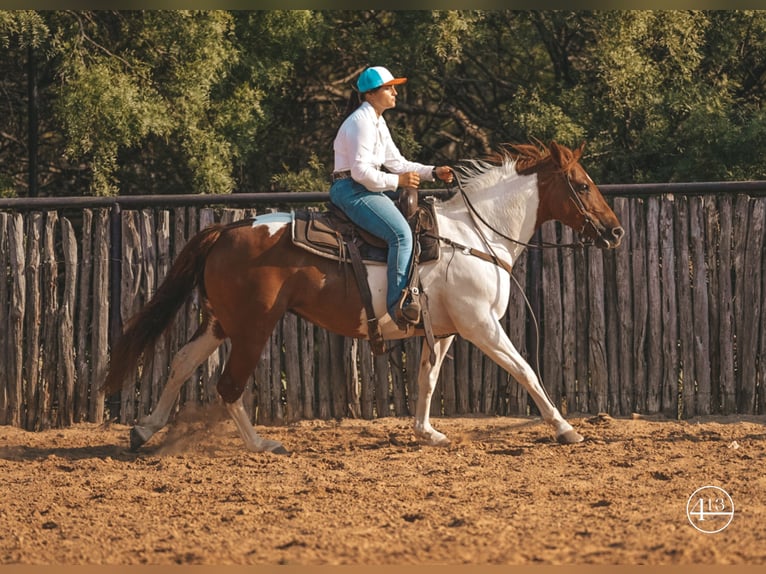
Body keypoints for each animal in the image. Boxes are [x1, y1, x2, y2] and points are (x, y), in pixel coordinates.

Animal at [103, 141, 624, 454]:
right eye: (582, 185)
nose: (615, 231)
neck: (474, 235)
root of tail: (229, 230)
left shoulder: (446, 331)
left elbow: (426, 381)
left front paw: (426, 432)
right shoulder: (481, 326)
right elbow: (526, 371)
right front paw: (566, 428)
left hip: (219, 322)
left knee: (181, 362)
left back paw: (144, 429)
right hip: (253, 328)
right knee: (228, 384)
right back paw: (261, 445)